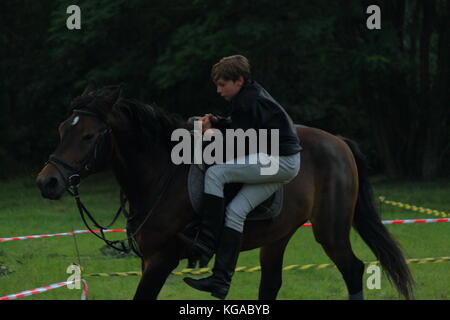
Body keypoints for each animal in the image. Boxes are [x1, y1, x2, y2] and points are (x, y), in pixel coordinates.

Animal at [36, 84, 414, 298]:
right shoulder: (148, 259)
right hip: (278, 236)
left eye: (88, 136)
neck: (160, 174)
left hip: (330, 231)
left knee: (353, 270)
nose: (47, 182)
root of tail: (339, 142)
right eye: (61, 129)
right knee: (271, 284)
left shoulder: (161, 260)